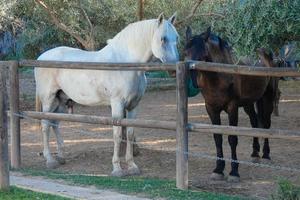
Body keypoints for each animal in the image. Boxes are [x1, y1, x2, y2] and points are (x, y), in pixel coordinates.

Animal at [35, 13, 180, 176]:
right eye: (163, 38)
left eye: (177, 37)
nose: (174, 69)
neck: (125, 64)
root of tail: (41, 57)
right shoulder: (117, 104)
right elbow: (117, 135)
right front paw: (117, 169)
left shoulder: (133, 106)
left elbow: (130, 134)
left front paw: (132, 166)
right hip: (49, 99)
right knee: (45, 124)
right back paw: (50, 160)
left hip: (61, 100)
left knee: (54, 122)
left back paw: (60, 157)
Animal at [185, 26, 278, 181]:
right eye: (185, 52)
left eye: (204, 55)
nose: (192, 82)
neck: (219, 76)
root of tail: (265, 55)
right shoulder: (211, 109)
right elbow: (217, 138)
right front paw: (218, 169)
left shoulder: (232, 108)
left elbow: (232, 138)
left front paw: (234, 171)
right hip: (248, 104)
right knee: (254, 123)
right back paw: (255, 153)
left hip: (268, 98)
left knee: (266, 124)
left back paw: (265, 154)